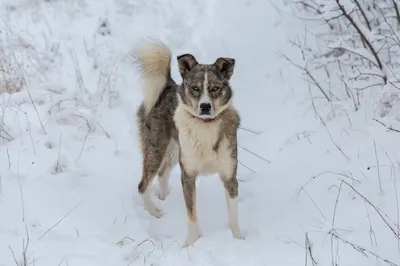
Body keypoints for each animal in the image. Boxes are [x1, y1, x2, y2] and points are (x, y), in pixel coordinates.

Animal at [133, 38, 242, 246]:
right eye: (195, 88)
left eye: (215, 88)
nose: (205, 106)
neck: (206, 126)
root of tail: (167, 85)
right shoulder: (188, 175)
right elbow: (191, 216)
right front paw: (190, 244)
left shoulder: (229, 176)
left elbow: (233, 215)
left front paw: (238, 240)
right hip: (156, 149)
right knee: (142, 185)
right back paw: (155, 212)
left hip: (175, 151)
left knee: (162, 174)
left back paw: (164, 198)